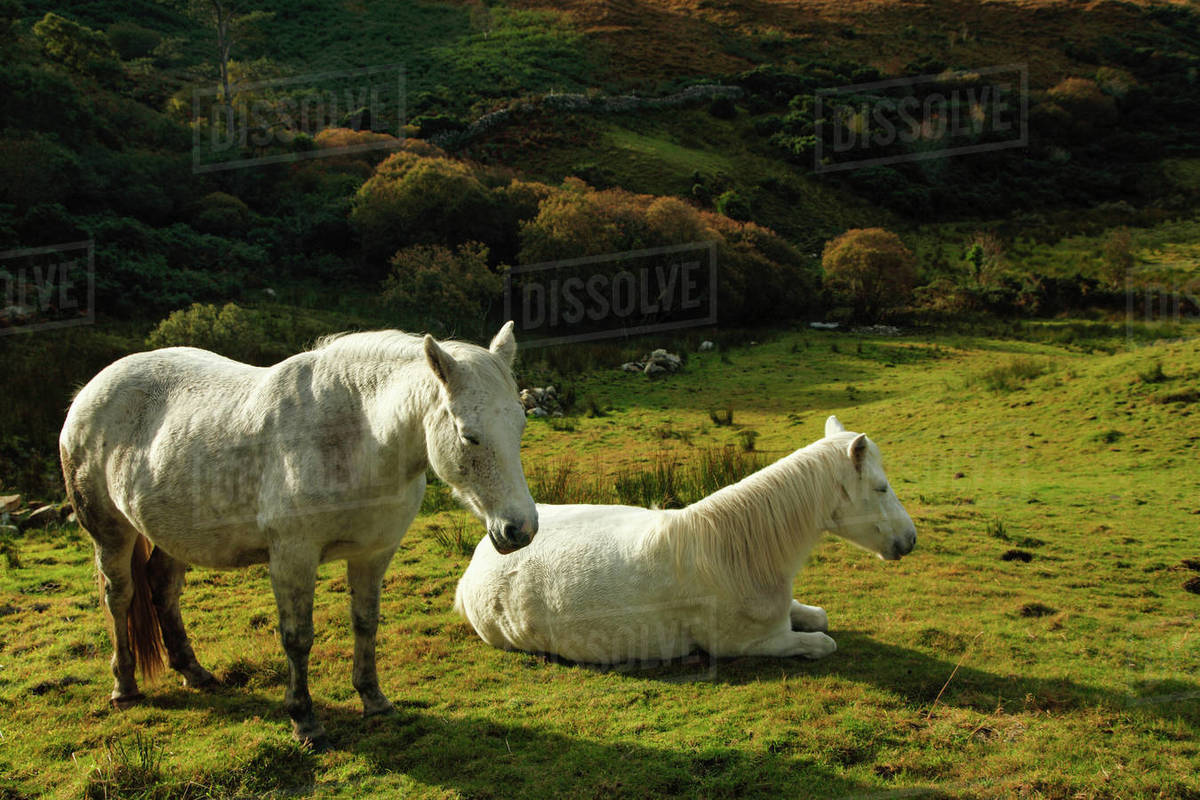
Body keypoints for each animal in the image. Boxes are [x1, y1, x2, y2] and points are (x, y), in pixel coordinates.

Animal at [60, 323, 538, 746]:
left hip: (171, 536)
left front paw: (374, 700)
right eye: (469, 436)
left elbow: (365, 622)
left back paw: (193, 672)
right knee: (119, 597)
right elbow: (298, 637)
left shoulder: (373, 554)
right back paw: (124, 687)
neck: (353, 437)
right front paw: (305, 721)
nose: (520, 529)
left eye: (519, 426)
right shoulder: (293, 558)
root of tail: (90, 390)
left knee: (162, 589)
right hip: (111, 532)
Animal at [454, 416, 916, 664]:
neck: (738, 553)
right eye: (880, 487)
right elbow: (823, 641)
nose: (909, 540)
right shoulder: (753, 643)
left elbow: (817, 616)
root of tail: (480, 558)